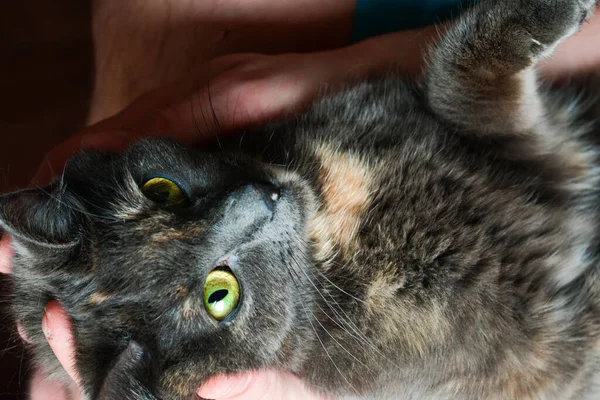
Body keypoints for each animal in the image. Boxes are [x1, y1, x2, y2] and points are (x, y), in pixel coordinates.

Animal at [1, 0, 600, 398]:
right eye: (220, 295)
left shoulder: (516, 142)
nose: (260, 199)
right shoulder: (535, 349)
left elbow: (457, 77)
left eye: (163, 190)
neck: (334, 224)